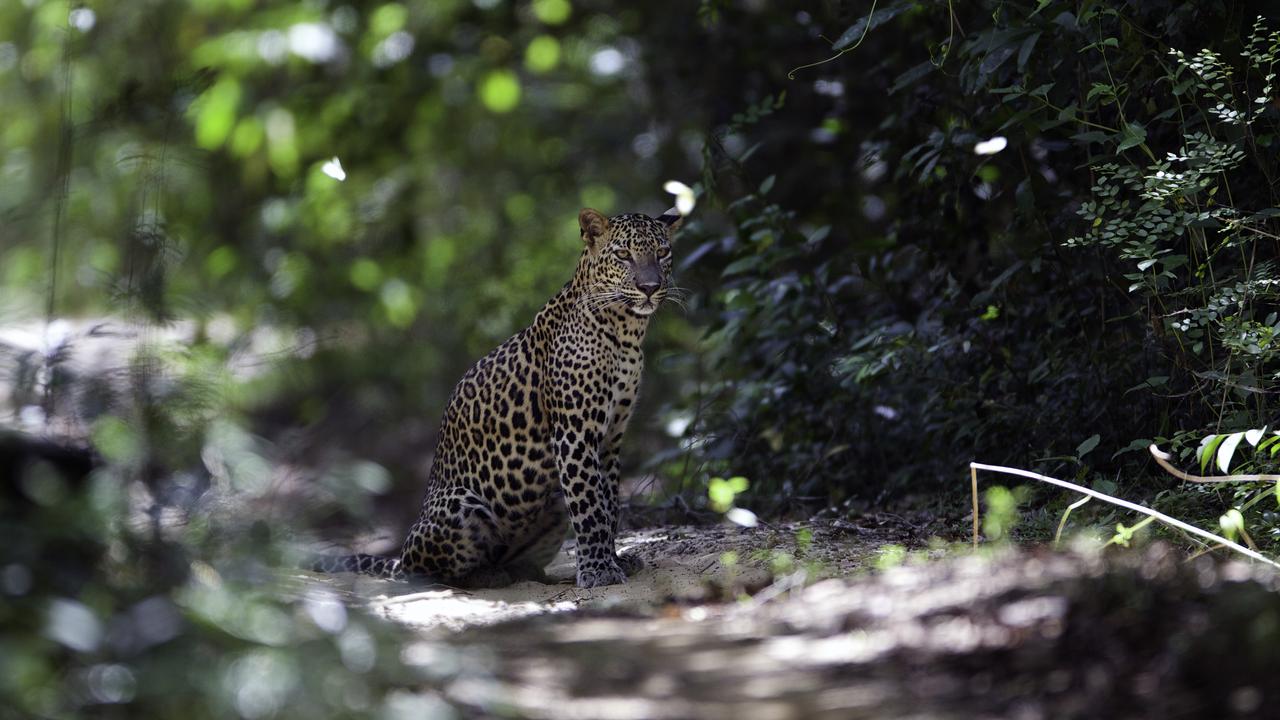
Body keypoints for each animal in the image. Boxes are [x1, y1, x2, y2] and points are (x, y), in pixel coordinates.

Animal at [312, 206, 683, 588]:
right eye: (623, 255)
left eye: (662, 252)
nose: (650, 288)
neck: (626, 333)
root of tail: (400, 557)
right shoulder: (574, 436)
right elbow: (590, 507)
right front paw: (598, 570)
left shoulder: (610, 439)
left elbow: (608, 506)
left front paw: (614, 561)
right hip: (458, 505)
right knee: (429, 572)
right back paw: (486, 575)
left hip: (549, 500)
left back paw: (523, 572)